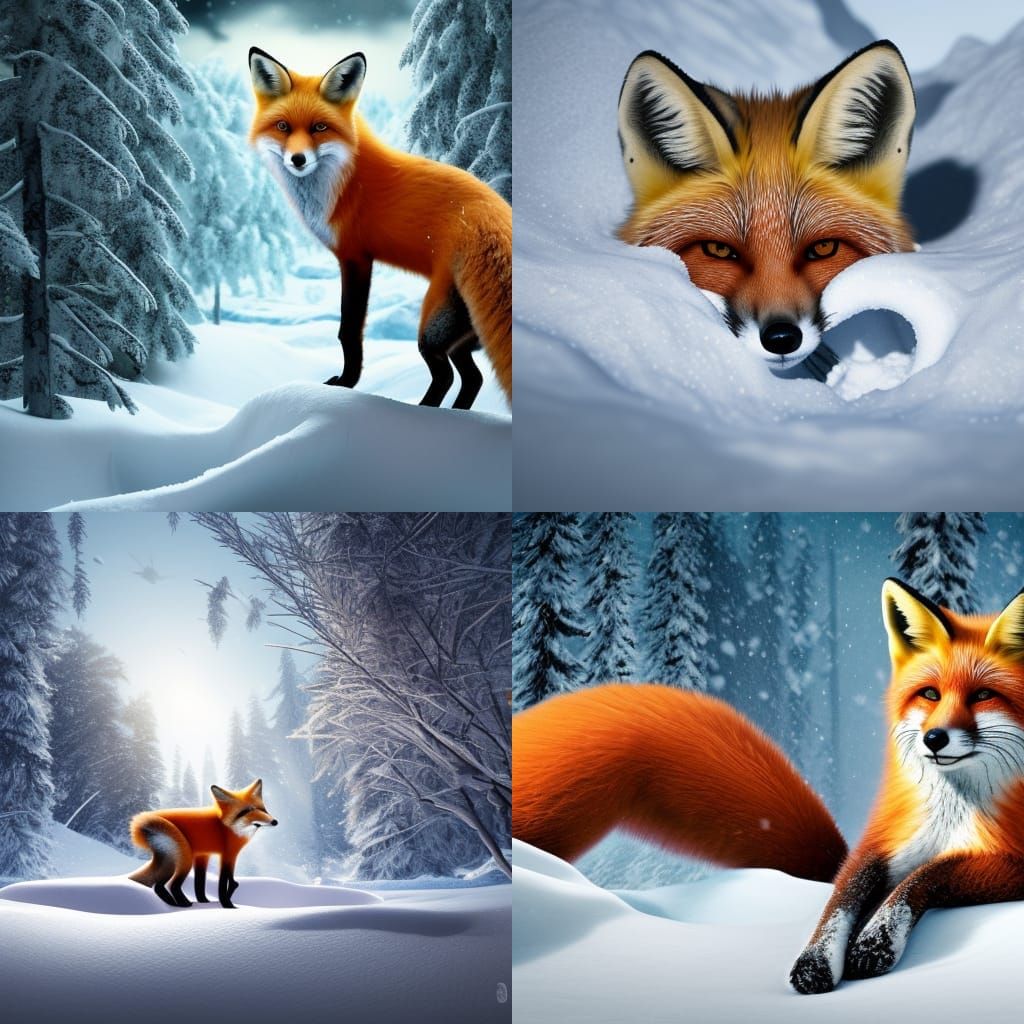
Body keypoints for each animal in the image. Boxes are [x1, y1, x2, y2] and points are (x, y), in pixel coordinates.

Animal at [128, 779, 277, 908]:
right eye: (247, 811)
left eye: (263, 809)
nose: (275, 821)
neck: (226, 827)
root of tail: (141, 819)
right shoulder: (228, 855)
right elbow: (222, 883)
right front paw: (228, 905)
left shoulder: (203, 855)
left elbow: (200, 883)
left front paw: (204, 901)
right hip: (184, 857)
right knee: (172, 885)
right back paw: (183, 904)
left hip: (170, 858)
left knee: (157, 885)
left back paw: (173, 903)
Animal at [248, 48, 511, 411]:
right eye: (283, 126)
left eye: (319, 127)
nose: (297, 160)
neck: (343, 179)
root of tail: (498, 215)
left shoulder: (355, 257)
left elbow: (348, 331)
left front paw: (346, 383)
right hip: (459, 332)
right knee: (473, 378)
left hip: (431, 330)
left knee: (446, 375)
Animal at [513, 578, 1024, 993]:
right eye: (930, 694)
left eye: (983, 695)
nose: (934, 739)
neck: (950, 816)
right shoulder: (880, 844)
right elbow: (840, 898)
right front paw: (817, 958)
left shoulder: (1012, 861)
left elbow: (931, 873)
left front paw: (875, 941)